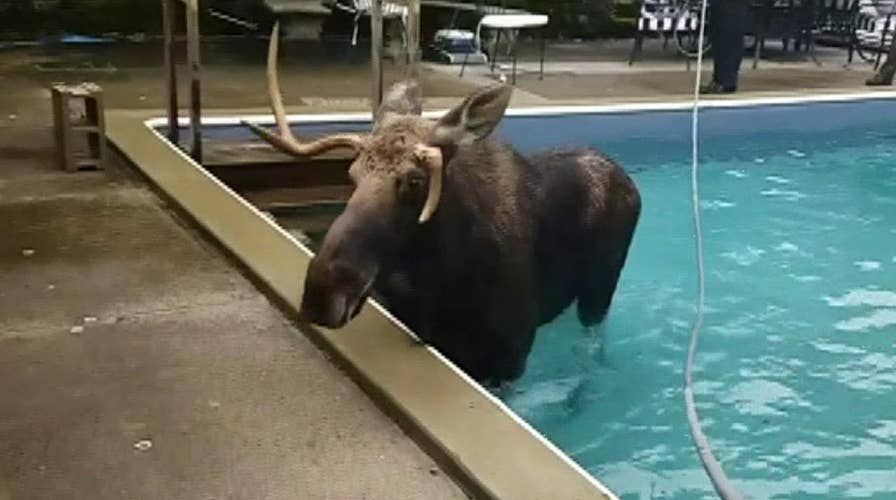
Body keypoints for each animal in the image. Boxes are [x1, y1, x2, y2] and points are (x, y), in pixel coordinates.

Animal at [243, 23, 641, 386]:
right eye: (351, 174)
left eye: (416, 181)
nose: (322, 292)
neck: (440, 280)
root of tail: (628, 182)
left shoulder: (511, 354)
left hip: (601, 287)